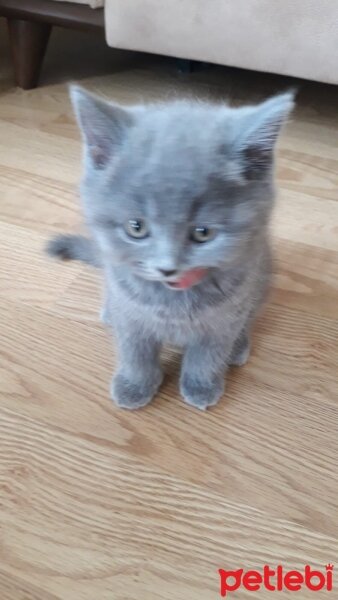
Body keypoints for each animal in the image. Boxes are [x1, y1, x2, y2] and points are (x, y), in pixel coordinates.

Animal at [47, 86, 294, 410]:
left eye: (203, 233)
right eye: (136, 227)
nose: (167, 267)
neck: (172, 300)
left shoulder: (225, 317)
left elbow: (208, 355)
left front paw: (201, 385)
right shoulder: (131, 314)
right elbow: (134, 351)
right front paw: (135, 384)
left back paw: (239, 347)